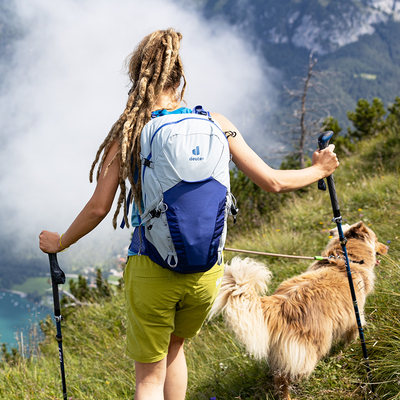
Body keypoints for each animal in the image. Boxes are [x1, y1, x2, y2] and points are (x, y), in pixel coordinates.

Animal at [209, 222, 388, 400]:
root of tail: (279, 305)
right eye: (376, 239)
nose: (387, 246)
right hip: (309, 348)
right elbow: (353, 334)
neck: (345, 258)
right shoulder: (355, 314)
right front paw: (347, 348)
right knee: (286, 376)